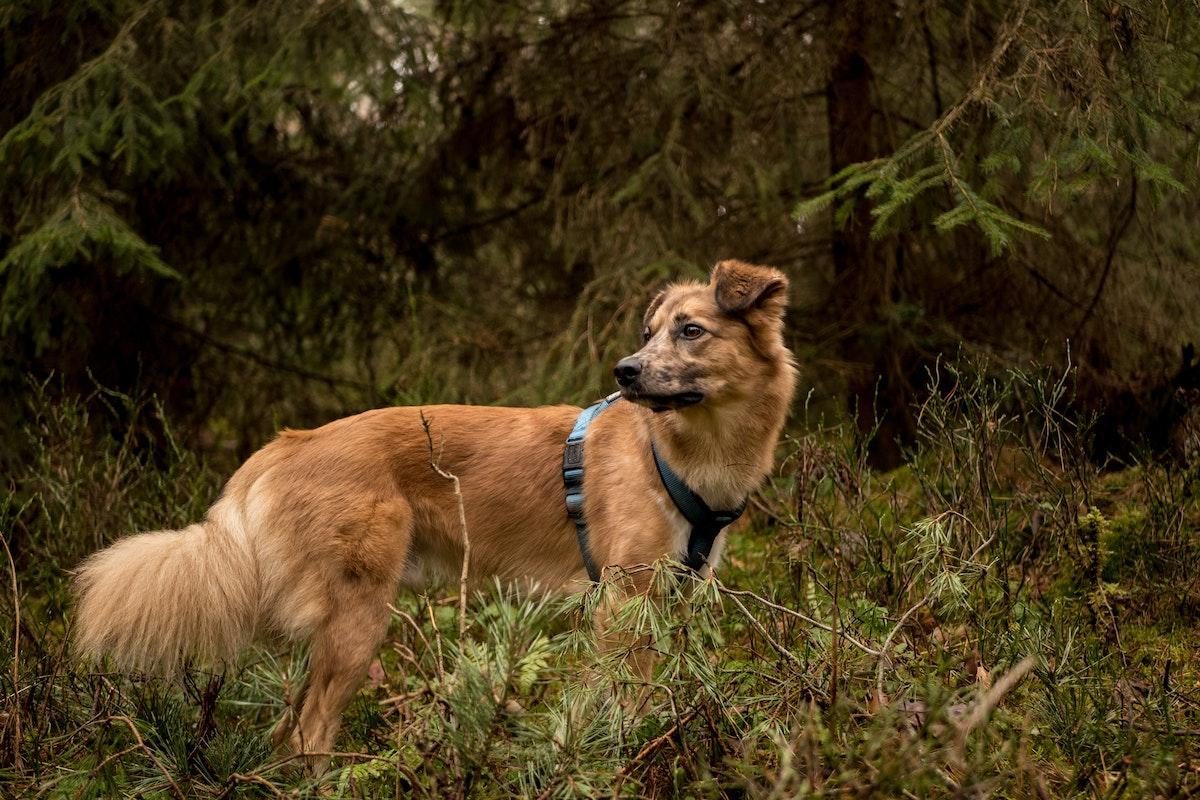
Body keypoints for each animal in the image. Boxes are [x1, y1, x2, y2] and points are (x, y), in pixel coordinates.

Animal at [70, 260, 792, 767]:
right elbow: (624, 701)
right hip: (360, 622)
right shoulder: (623, 604)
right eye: (649, 334)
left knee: (285, 732)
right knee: (309, 734)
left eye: (691, 330)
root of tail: (291, 442)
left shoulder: (677, 598)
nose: (626, 371)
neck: (677, 452)